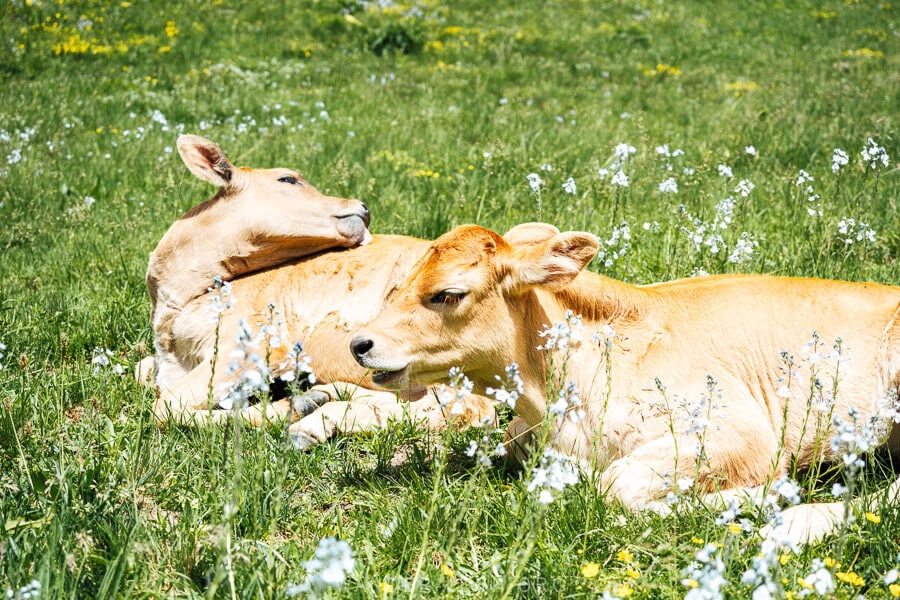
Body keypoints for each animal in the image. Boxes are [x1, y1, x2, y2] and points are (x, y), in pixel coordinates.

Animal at [350, 225, 900, 544]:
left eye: (447, 294)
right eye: (401, 283)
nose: (359, 343)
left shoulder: (743, 434)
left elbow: (614, 487)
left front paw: (761, 496)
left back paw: (798, 520)